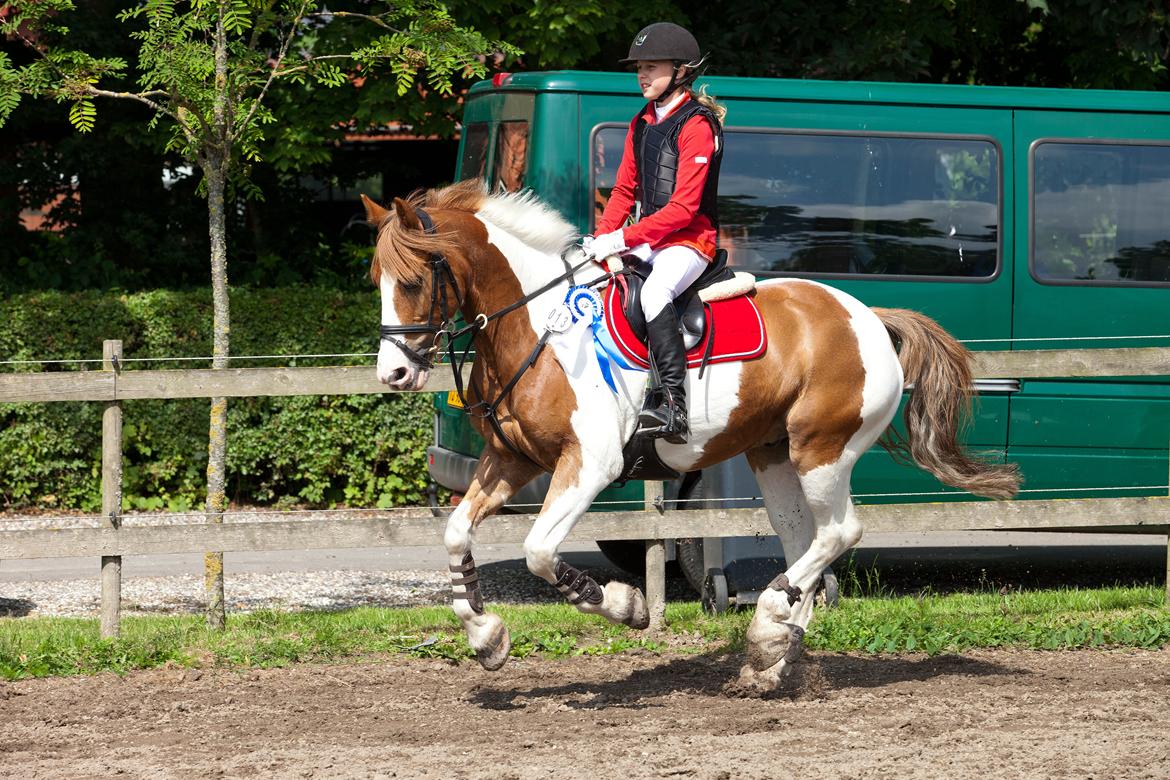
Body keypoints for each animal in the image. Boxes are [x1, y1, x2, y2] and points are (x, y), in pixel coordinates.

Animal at [362, 180, 1015, 692]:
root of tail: (869, 318)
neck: (540, 328)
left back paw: (768, 625)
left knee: (839, 532)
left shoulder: (589, 465)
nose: (392, 374)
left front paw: (624, 606)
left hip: (822, 450)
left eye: (415, 281)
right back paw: (773, 655)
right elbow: (455, 533)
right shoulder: (511, 460)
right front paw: (485, 636)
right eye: (377, 280)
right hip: (773, 455)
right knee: (803, 539)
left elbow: (540, 551)